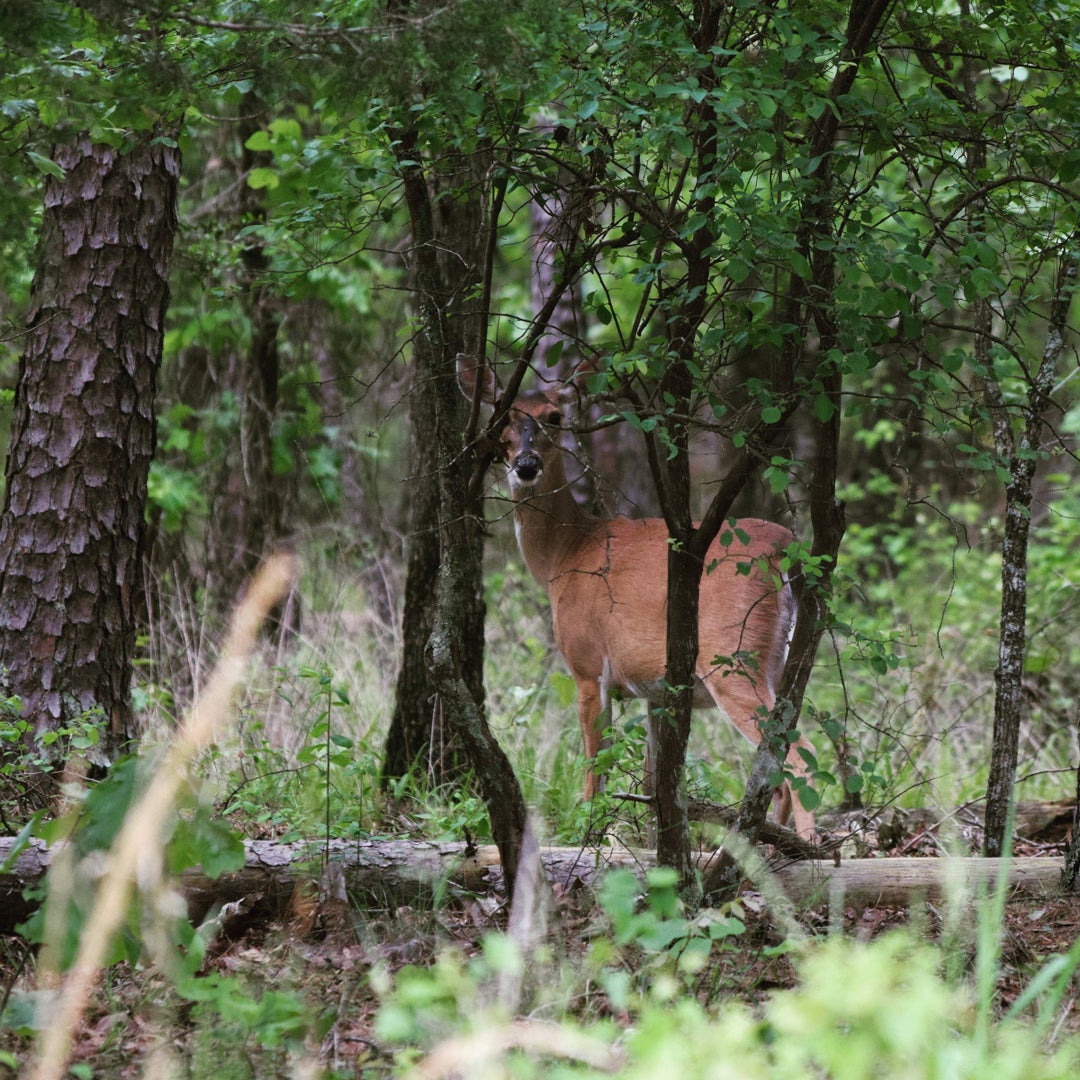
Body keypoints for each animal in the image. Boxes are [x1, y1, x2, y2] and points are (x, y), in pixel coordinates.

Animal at [457, 358, 816, 838]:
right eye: (502, 418)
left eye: (555, 417)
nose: (527, 465)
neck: (564, 557)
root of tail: (784, 546)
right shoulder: (658, 691)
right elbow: (655, 784)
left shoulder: (588, 663)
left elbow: (595, 773)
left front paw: (589, 836)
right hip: (776, 662)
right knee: (777, 778)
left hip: (734, 654)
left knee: (800, 762)